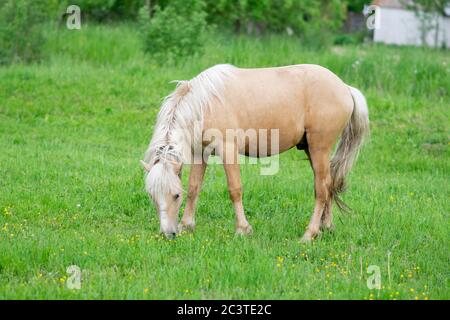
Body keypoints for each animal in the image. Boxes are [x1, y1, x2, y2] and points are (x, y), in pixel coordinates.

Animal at [142, 63, 370, 241]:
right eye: (152, 195)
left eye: (175, 195)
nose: (168, 234)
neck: (205, 104)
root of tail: (344, 87)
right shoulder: (201, 153)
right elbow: (194, 187)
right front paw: (187, 225)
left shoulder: (228, 150)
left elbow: (234, 189)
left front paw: (243, 229)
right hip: (311, 150)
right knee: (328, 184)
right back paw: (326, 227)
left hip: (319, 148)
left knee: (321, 189)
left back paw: (309, 233)